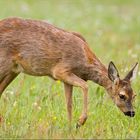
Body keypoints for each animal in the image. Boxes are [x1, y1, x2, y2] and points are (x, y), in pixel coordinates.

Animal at [0, 17, 138, 128]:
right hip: (4, 64)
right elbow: (85, 86)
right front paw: (80, 122)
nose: (132, 113)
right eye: (122, 95)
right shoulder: (60, 71)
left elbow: (69, 104)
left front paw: (70, 128)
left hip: (13, 70)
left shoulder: (67, 80)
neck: (85, 62)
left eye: (134, 95)